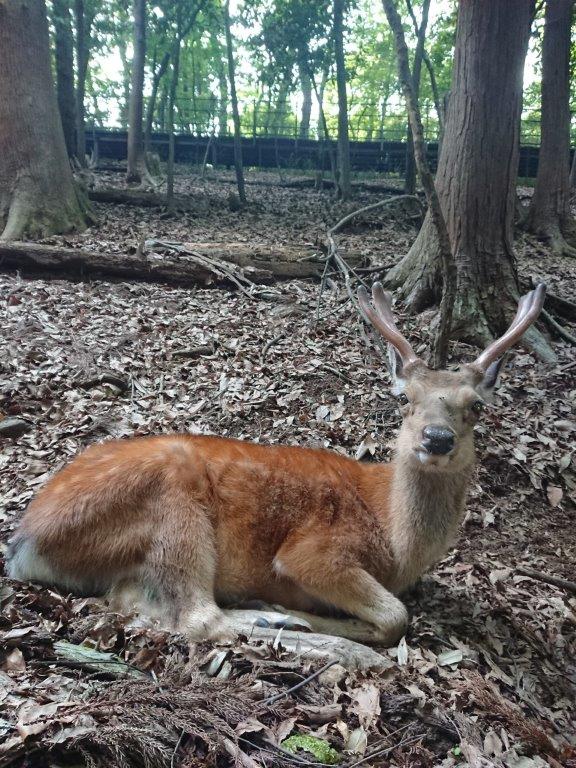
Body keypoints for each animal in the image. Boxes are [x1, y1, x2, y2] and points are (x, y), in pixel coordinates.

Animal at [10, 284, 548, 668]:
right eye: (406, 399)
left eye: (476, 407)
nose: (437, 438)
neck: (395, 543)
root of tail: (22, 546)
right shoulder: (314, 551)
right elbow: (397, 615)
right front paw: (323, 620)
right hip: (173, 499)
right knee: (199, 619)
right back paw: (327, 641)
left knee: (139, 605)